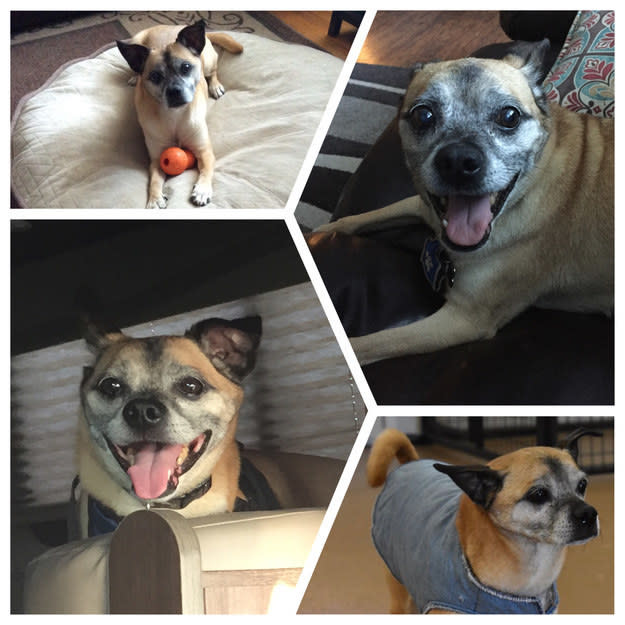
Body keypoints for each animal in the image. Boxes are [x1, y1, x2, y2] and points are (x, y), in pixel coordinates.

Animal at [117, 20, 244, 208]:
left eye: (186, 67)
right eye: (155, 76)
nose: (174, 91)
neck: (174, 116)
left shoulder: (204, 151)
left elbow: (206, 170)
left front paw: (202, 190)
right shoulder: (156, 159)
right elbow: (155, 180)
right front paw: (154, 199)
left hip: (208, 62)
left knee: (213, 72)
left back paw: (215, 86)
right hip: (136, 39)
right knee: (135, 71)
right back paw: (134, 78)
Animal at [320, 41, 612, 364]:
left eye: (509, 117)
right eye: (423, 115)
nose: (459, 161)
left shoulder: (465, 319)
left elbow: (370, 343)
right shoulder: (421, 205)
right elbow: (365, 216)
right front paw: (323, 231)